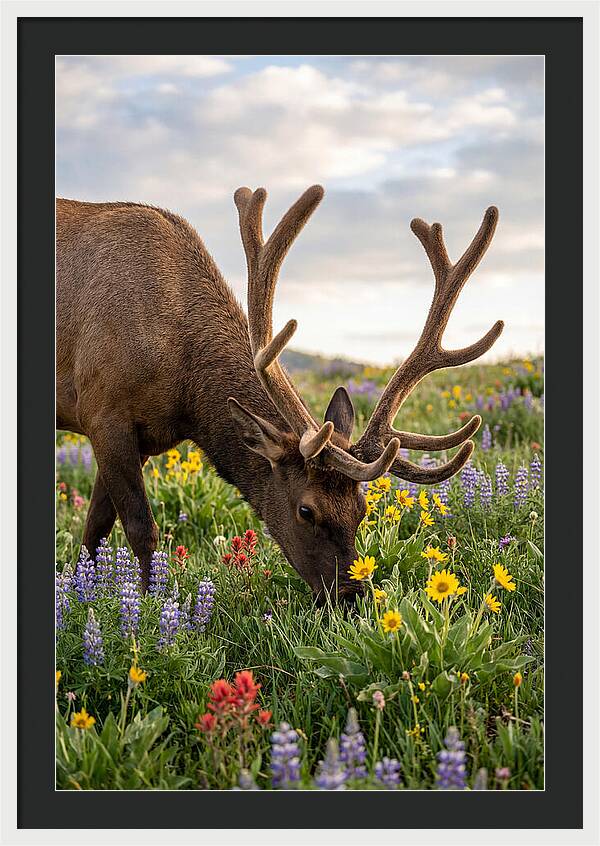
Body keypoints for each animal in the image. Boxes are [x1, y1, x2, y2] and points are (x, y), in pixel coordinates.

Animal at [56, 185, 503, 601]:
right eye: (306, 510)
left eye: (362, 509)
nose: (351, 596)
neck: (185, 392)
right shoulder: (104, 412)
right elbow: (139, 528)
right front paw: (149, 605)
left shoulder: (144, 437)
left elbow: (94, 529)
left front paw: (83, 592)